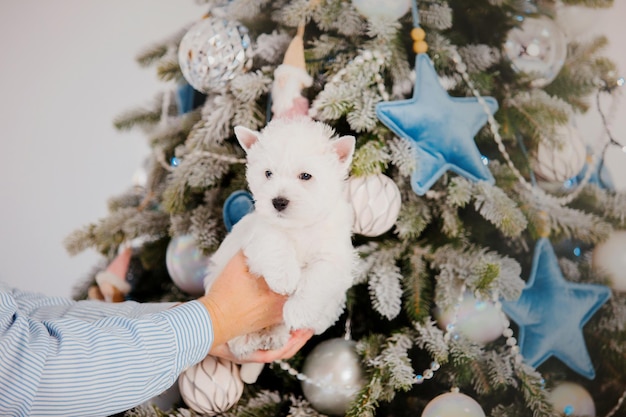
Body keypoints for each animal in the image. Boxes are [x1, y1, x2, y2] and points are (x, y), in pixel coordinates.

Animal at [205, 115, 356, 382]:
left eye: (306, 176)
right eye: (268, 173)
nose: (278, 202)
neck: (299, 226)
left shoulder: (335, 256)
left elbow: (318, 277)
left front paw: (299, 310)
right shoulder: (258, 236)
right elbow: (275, 243)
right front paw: (285, 278)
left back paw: (275, 334)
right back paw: (247, 339)